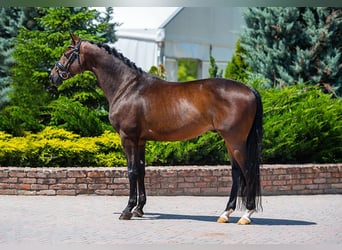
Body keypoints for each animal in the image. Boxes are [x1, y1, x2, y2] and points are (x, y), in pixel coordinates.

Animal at [48, 33, 262, 225]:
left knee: (248, 171)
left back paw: (246, 215)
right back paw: (225, 214)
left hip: (235, 141)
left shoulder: (128, 138)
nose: (52, 76)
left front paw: (127, 210)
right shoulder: (140, 140)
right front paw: (139, 209)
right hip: (230, 142)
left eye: (67, 53)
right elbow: (141, 170)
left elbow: (132, 171)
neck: (127, 87)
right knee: (236, 173)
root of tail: (249, 89)